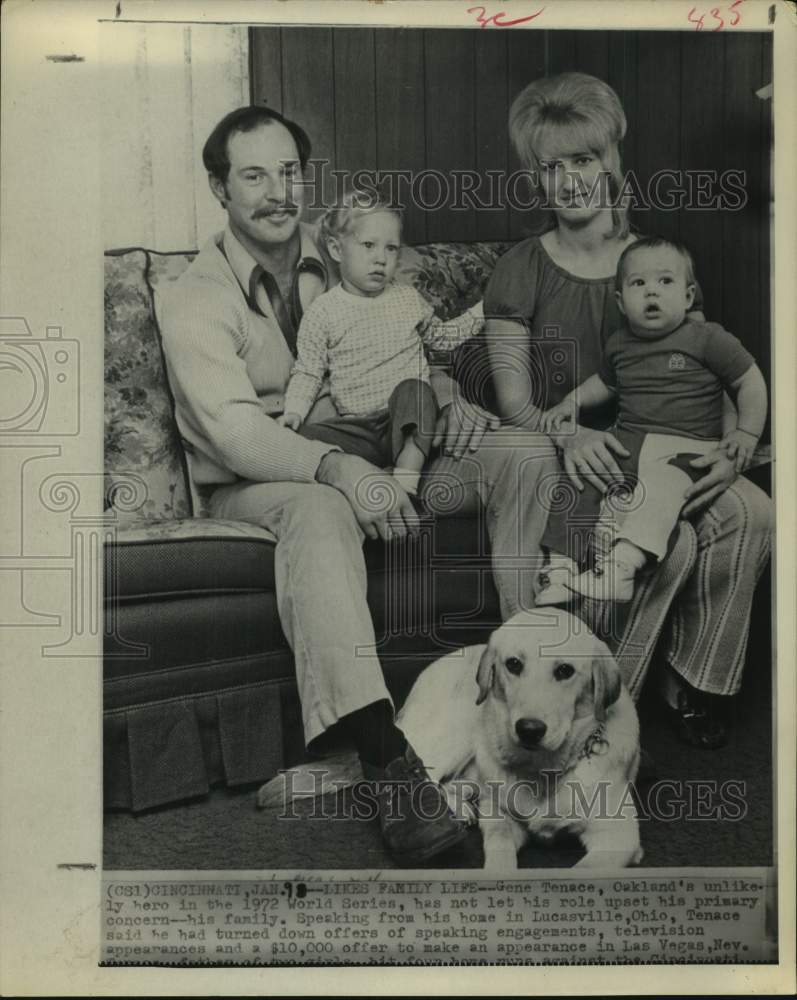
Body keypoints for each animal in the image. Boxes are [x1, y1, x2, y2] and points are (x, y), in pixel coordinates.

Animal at [394, 604, 644, 872]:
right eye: (513, 664)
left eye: (565, 670)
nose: (529, 730)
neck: (543, 769)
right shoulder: (499, 816)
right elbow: (500, 848)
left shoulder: (619, 835)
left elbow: (584, 870)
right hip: (457, 732)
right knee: (425, 775)